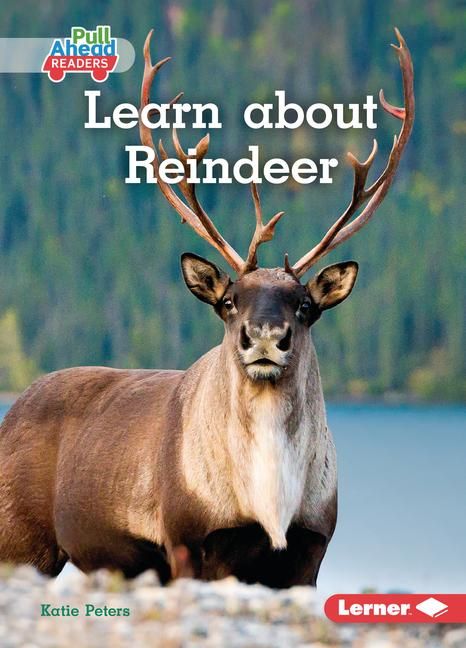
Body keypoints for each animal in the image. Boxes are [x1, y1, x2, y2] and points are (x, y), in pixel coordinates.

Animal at [0, 29, 413, 587]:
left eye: (305, 304)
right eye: (228, 301)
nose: (265, 336)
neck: (270, 501)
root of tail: (13, 409)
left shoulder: (310, 550)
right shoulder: (187, 542)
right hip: (21, 541)